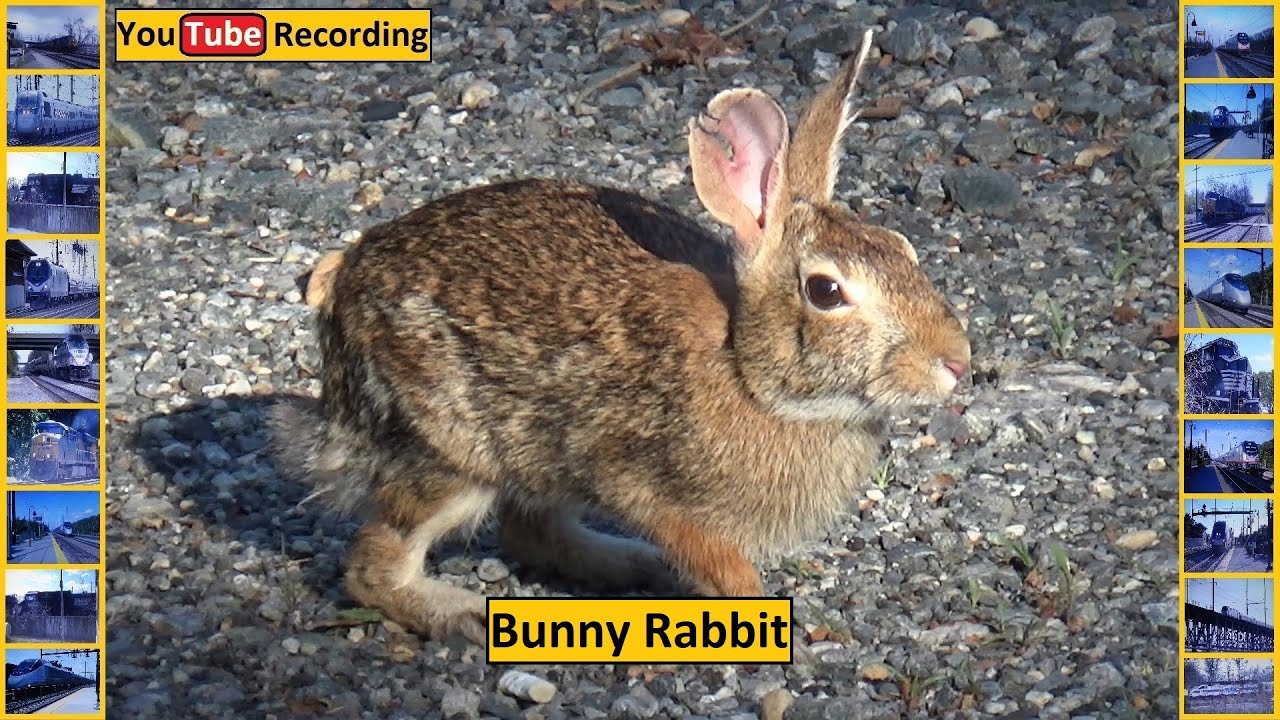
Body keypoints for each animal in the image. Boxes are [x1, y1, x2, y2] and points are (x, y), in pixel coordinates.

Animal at [270, 28, 971, 646]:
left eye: (902, 249)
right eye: (826, 291)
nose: (957, 362)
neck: (747, 370)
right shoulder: (639, 484)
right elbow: (717, 560)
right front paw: (754, 607)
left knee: (529, 532)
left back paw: (637, 567)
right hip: (452, 450)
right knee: (375, 564)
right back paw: (463, 614)